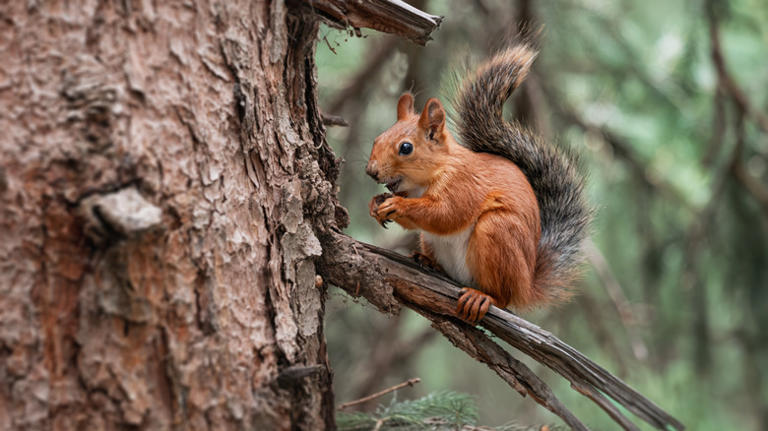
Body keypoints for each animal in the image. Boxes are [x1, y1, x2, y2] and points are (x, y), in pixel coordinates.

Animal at [365, 44, 591, 324]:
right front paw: (375, 204)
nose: (371, 171)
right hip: (434, 242)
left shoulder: (463, 185)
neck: (429, 177)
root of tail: (527, 284)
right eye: (377, 139)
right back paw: (428, 262)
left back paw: (482, 297)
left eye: (406, 148)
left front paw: (398, 205)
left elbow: (445, 214)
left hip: (497, 232)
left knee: (503, 296)